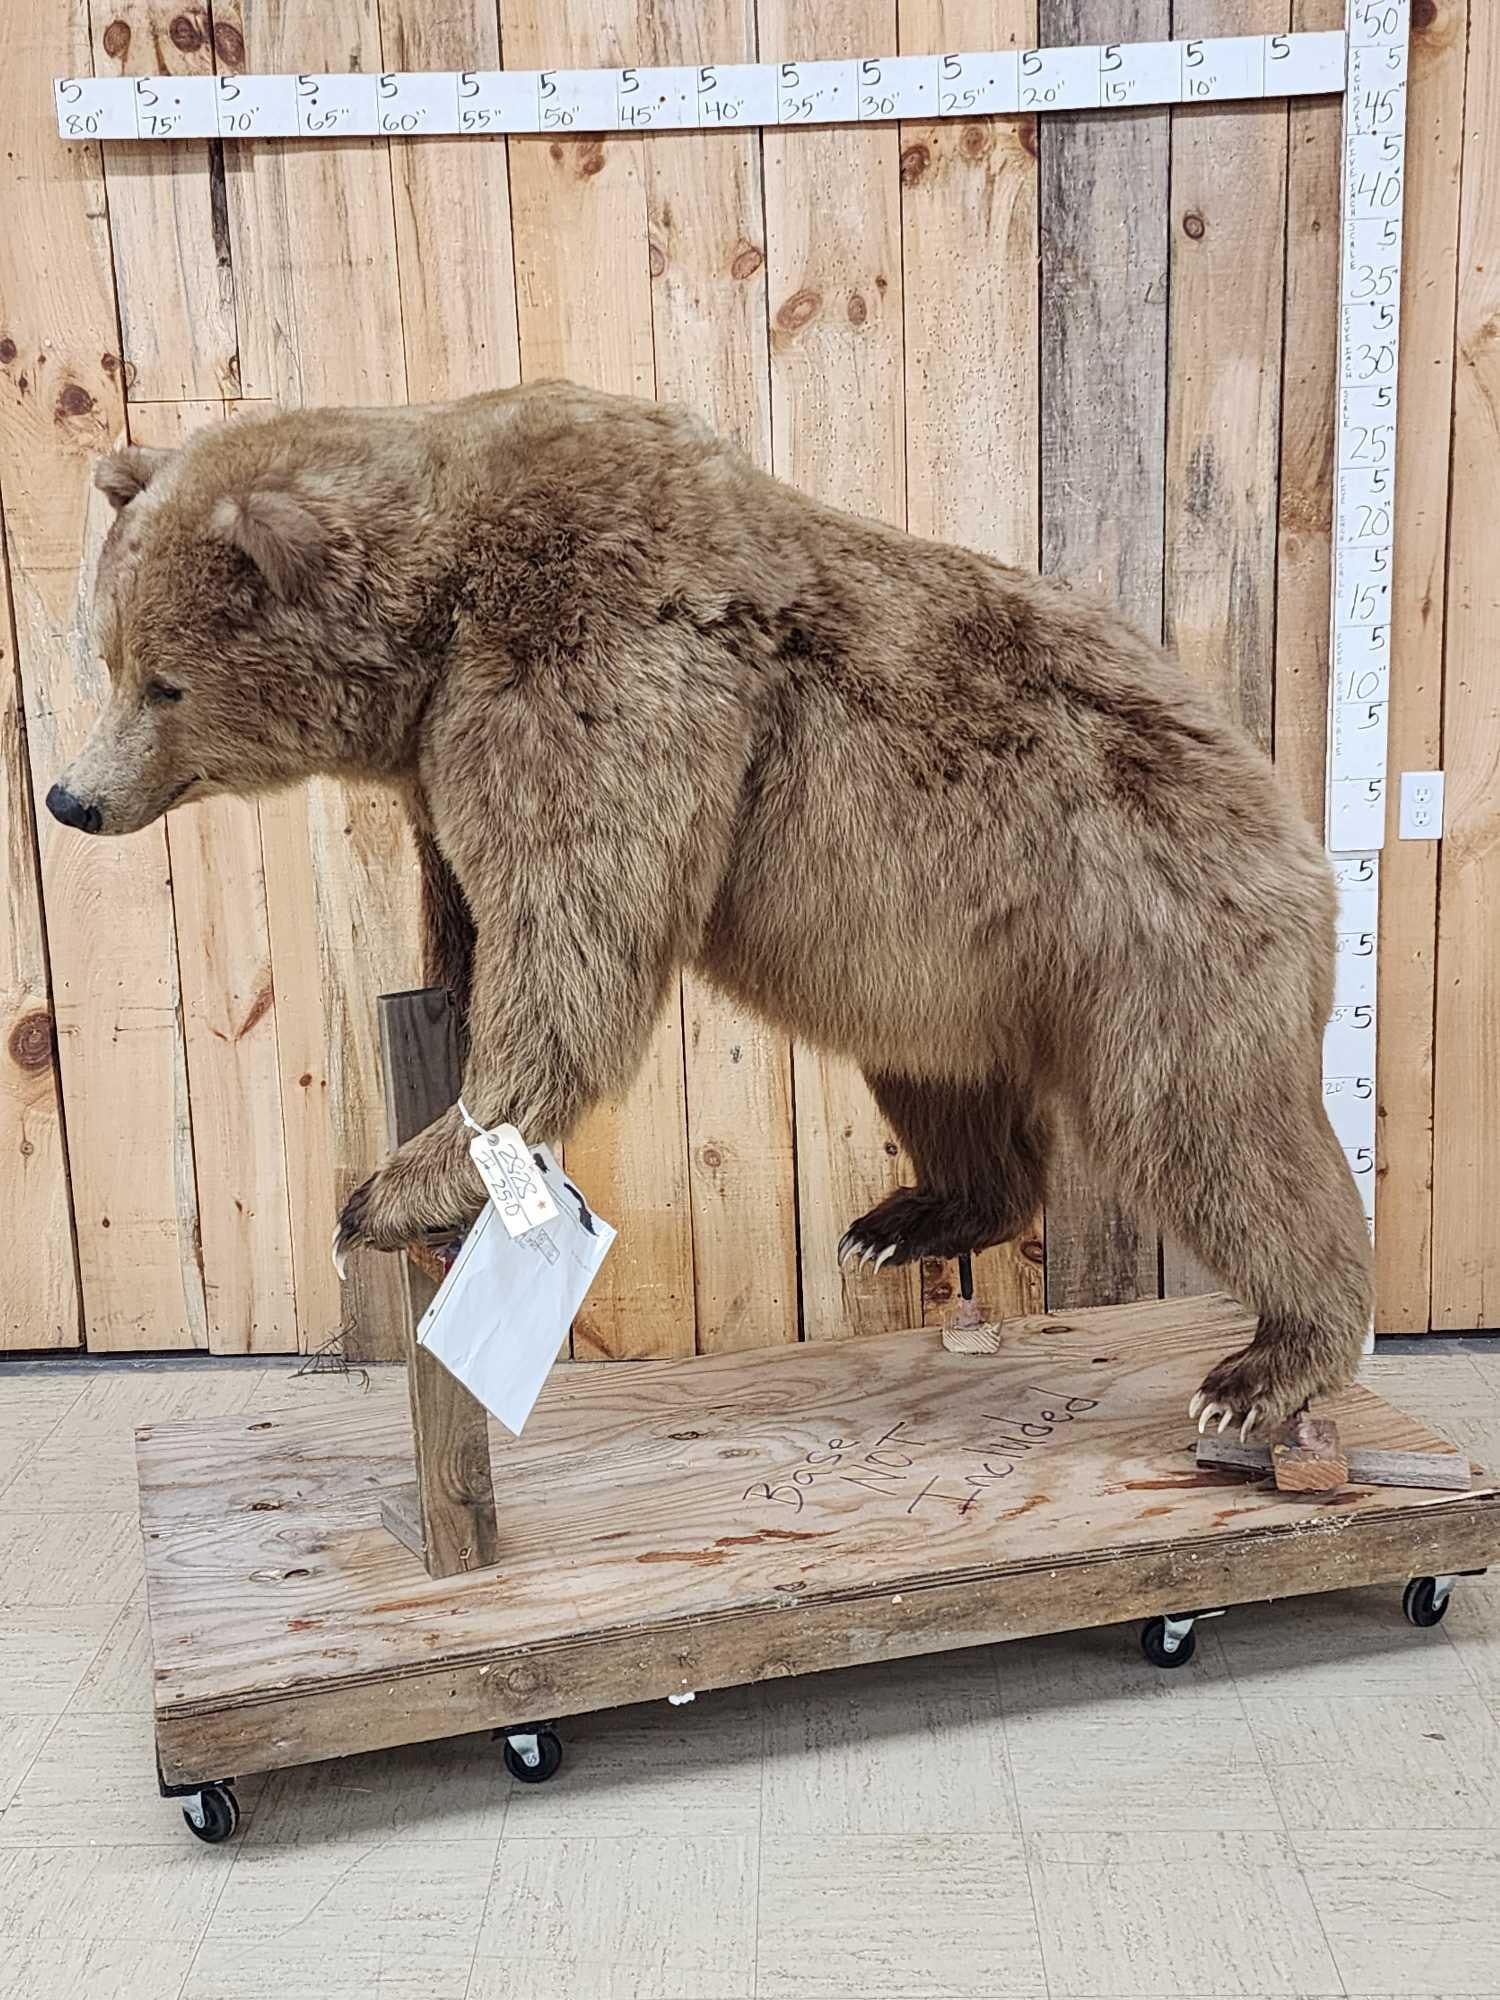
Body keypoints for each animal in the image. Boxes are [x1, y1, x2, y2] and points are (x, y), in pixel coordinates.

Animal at [49, 382, 1373, 1438]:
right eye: (107, 653)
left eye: (165, 681)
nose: (72, 795)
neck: (435, 629)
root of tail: (1295, 824)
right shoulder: (449, 751)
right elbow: (475, 915)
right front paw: (441, 1010)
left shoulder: (592, 667)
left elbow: (576, 944)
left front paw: (391, 1190)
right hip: (939, 967)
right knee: (940, 1082)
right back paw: (910, 1216)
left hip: (1155, 932)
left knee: (1210, 1131)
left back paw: (1267, 1365)